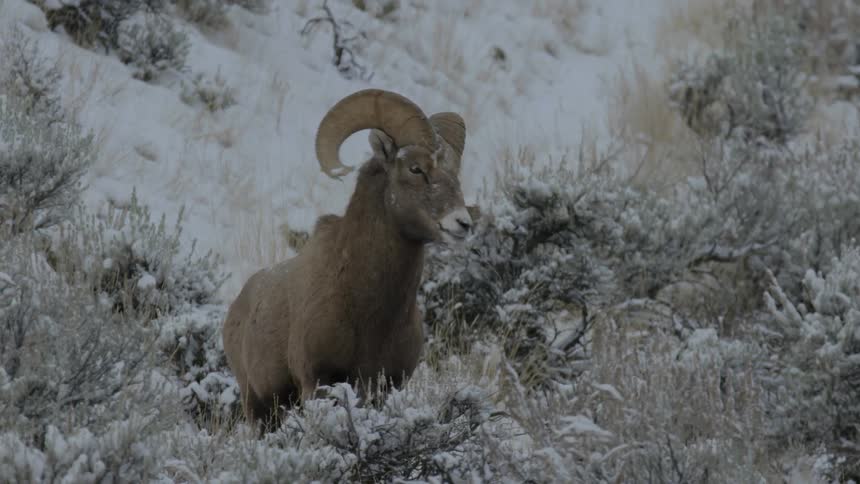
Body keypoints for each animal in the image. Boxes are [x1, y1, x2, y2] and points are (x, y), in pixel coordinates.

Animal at [222, 89, 472, 427]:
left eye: (454, 172)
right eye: (415, 169)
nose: (463, 223)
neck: (371, 312)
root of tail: (237, 308)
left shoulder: (386, 386)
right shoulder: (318, 381)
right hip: (258, 406)